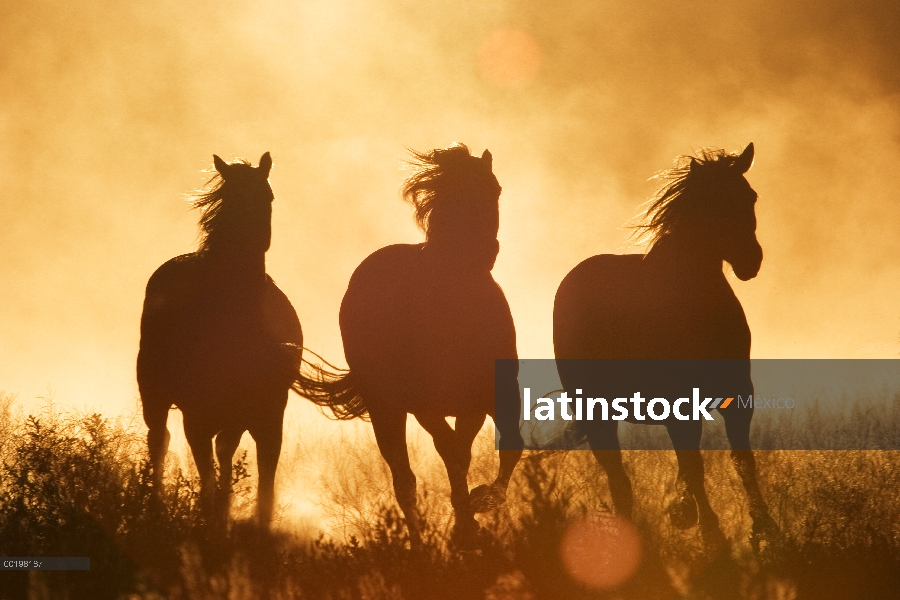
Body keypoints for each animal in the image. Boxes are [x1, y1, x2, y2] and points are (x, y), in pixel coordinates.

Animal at [135, 152, 300, 528]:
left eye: (267, 196)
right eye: (231, 199)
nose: (248, 242)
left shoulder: (264, 415)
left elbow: (257, 479)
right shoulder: (196, 418)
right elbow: (206, 476)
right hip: (155, 396)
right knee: (159, 441)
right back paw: (155, 511)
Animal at [300, 144, 524, 548]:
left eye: (495, 190)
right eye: (455, 194)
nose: (484, 252)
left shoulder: (489, 396)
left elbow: (502, 447)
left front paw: (478, 507)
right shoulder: (425, 405)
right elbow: (452, 455)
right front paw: (467, 525)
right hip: (386, 409)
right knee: (404, 481)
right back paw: (420, 547)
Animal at [552, 143, 776, 548]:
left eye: (750, 196)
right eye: (712, 203)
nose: (751, 260)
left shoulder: (738, 395)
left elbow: (742, 461)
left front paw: (765, 529)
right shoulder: (678, 404)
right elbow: (694, 465)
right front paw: (713, 535)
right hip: (597, 413)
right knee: (618, 478)